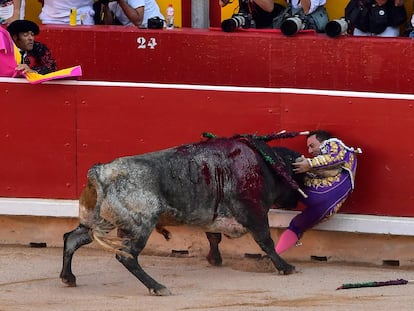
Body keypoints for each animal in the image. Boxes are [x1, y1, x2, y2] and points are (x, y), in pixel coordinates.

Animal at [60, 133, 308, 294]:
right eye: (299, 177)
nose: (297, 201)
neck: (267, 165)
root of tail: (100, 171)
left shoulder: (212, 214)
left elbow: (213, 237)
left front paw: (215, 260)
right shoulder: (253, 212)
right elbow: (265, 241)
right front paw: (286, 267)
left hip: (97, 221)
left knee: (72, 239)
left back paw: (68, 278)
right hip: (140, 225)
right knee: (126, 256)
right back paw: (157, 287)